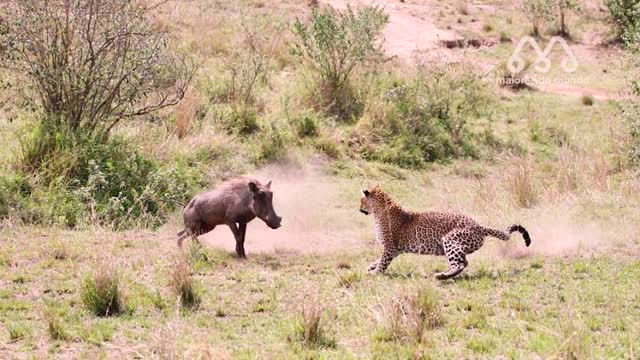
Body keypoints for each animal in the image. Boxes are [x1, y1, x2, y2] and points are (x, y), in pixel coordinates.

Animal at [358, 186, 532, 282]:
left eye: (361, 201)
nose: (359, 209)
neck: (379, 211)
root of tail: (479, 226)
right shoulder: (394, 250)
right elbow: (379, 259)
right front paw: (371, 266)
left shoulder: (390, 247)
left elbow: (383, 262)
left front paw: (374, 273)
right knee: (464, 262)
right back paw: (446, 276)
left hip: (450, 239)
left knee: (459, 264)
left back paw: (441, 276)